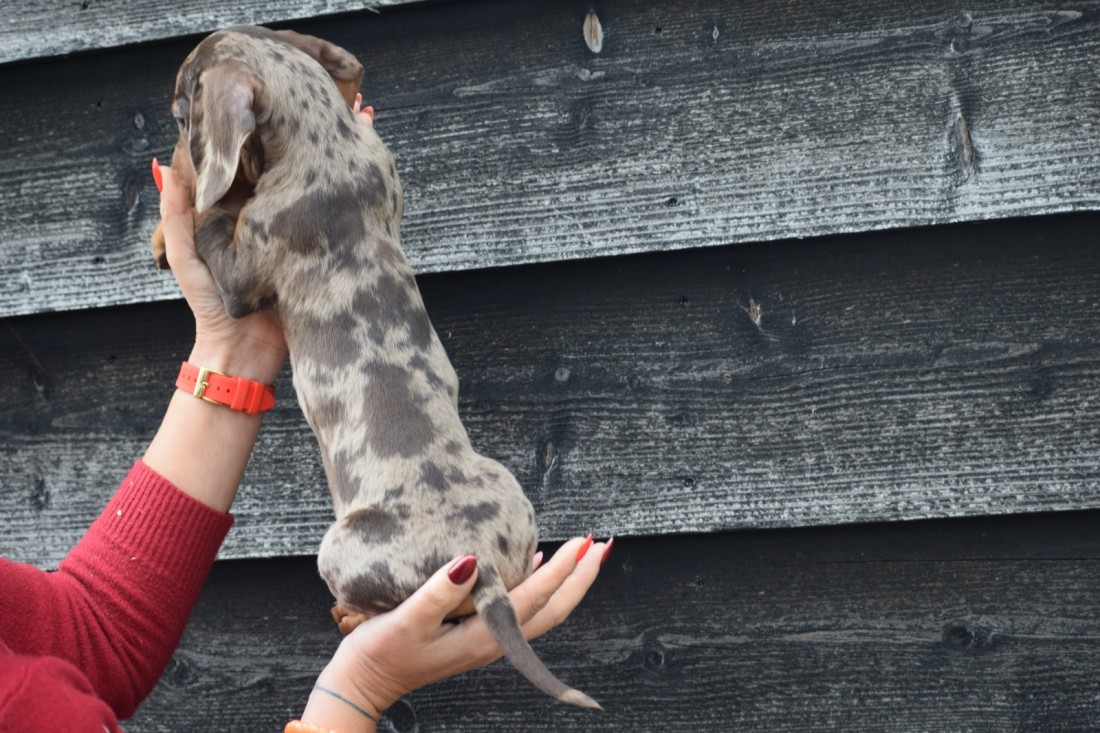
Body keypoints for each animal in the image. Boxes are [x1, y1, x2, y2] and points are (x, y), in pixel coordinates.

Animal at [152, 26, 599, 709]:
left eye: (182, 114)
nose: (173, 142)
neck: (325, 141)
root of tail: (481, 568)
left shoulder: (239, 273)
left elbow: (209, 217)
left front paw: (174, 206)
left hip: (339, 548)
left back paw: (349, 615)